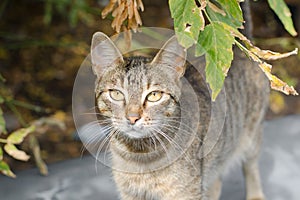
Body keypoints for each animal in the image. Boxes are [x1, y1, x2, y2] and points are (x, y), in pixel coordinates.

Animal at [89, 3, 270, 200]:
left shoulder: (185, 193)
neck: (139, 154)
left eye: (154, 95)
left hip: (252, 135)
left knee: (250, 166)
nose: (132, 118)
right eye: (116, 94)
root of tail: (237, 47)